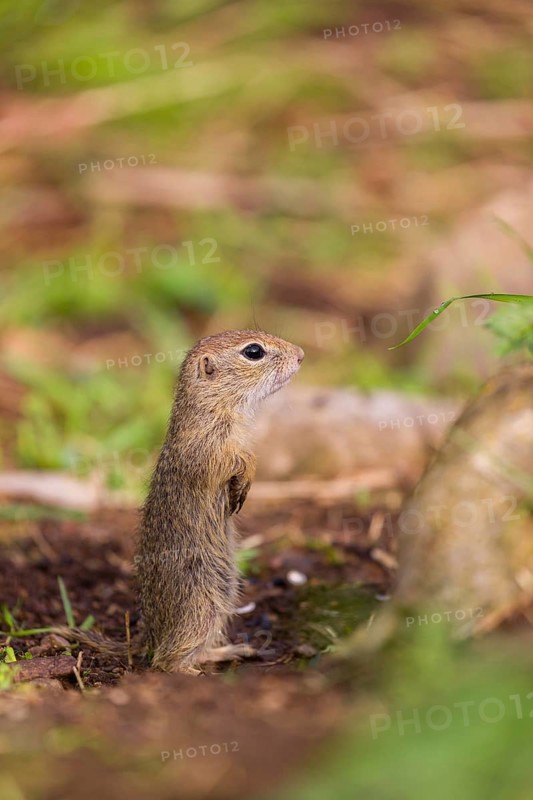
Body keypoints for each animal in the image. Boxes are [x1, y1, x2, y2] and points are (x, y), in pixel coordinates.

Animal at [49, 330, 304, 674]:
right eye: (254, 352)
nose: (301, 354)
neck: (216, 410)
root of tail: (148, 637)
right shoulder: (209, 451)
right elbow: (236, 460)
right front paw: (246, 473)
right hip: (202, 602)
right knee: (165, 659)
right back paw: (191, 670)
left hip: (225, 592)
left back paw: (231, 651)